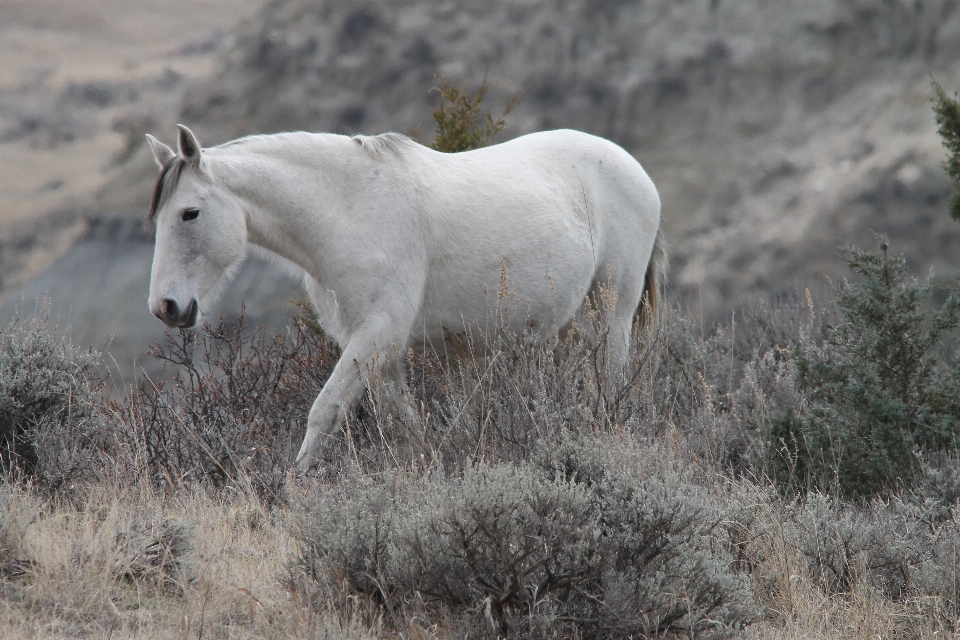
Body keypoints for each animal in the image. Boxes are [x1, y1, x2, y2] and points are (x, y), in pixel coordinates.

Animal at [146, 125, 664, 470]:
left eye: (189, 213)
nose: (166, 308)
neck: (350, 209)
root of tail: (634, 168)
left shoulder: (376, 335)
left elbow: (324, 412)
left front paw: (295, 490)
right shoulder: (376, 347)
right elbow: (405, 427)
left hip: (613, 312)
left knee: (611, 382)